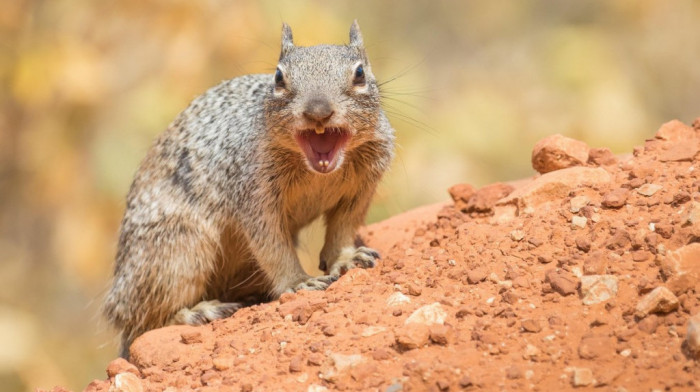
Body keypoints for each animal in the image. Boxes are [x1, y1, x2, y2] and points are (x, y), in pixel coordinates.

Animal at [102, 21, 394, 358]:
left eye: (360, 73)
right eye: (279, 77)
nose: (318, 111)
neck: (317, 173)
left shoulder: (360, 191)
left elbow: (343, 229)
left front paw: (347, 258)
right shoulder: (254, 194)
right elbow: (271, 246)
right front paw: (299, 282)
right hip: (178, 253)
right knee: (146, 322)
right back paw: (199, 312)